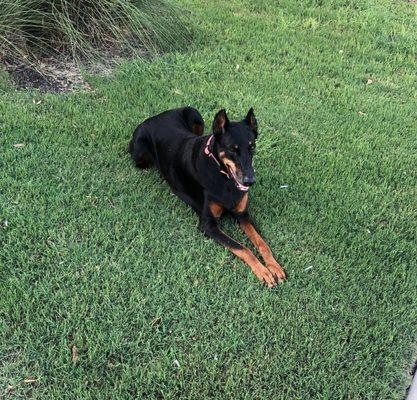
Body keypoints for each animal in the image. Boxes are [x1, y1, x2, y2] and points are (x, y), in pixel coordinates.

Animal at [129, 106, 286, 288]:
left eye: (252, 147)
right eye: (232, 149)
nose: (249, 181)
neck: (223, 176)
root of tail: (156, 117)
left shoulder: (242, 214)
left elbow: (262, 243)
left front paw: (274, 266)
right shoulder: (208, 225)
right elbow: (242, 248)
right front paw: (263, 271)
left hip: (194, 114)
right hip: (140, 155)